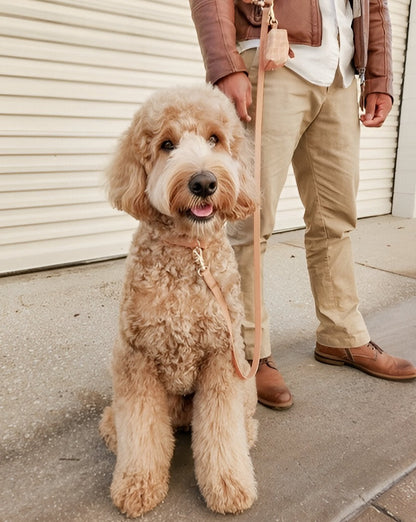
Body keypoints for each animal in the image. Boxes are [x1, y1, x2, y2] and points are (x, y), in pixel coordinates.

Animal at [99, 83, 258, 512]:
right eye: (166, 144)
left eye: (215, 139)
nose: (203, 182)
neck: (190, 251)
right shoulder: (135, 359)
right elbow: (141, 432)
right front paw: (138, 485)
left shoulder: (222, 358)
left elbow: (221, 429)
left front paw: (229, 484)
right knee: (120, 425)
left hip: (244, 379)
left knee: (238, 421)